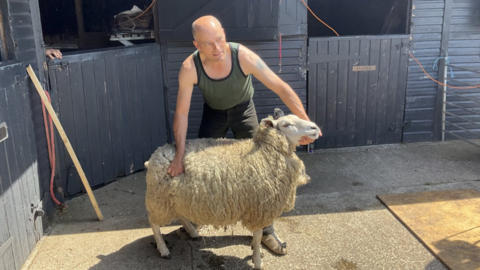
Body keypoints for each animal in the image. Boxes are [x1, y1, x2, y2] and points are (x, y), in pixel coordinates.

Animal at [144, 107, 320, 268]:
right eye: (286, 124)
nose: (315, 128)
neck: (264, 152)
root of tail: (155, 155)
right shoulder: (258, 207)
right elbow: (257, 234)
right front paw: (257, 260)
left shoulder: (257, 206)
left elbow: (257, 235)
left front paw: (255, 251)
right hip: (159, 199)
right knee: (153, 222)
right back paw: (163, 249)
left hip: (178, 197)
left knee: (181, 214)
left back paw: (193, 233)